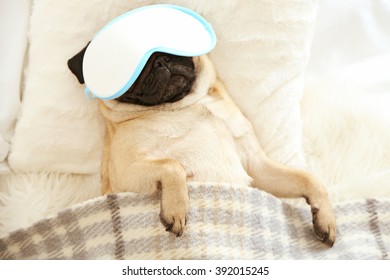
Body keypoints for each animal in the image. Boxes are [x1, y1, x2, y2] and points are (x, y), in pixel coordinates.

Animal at [67, 44, 336, 246]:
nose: (159, 60)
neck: (185, 105)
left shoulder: (257, 167)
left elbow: (310, 179)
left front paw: (326, 217)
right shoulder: (126, 175)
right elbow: (171, 164)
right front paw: (176, 209)